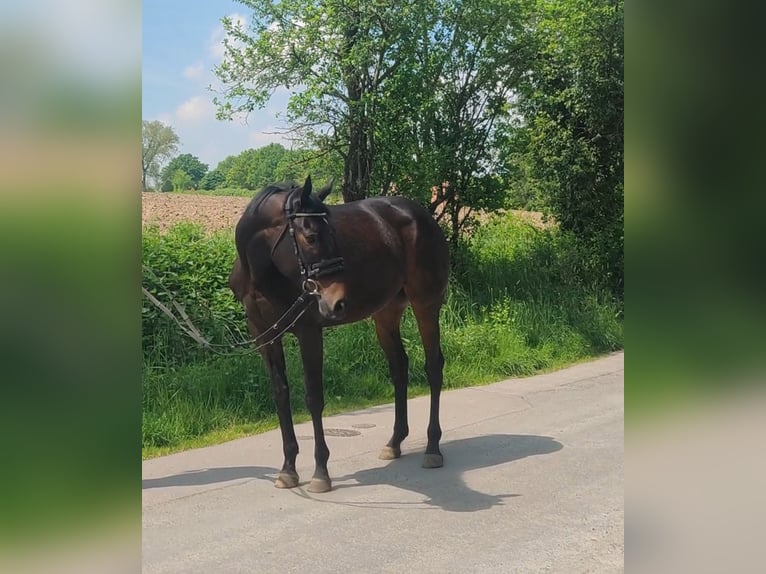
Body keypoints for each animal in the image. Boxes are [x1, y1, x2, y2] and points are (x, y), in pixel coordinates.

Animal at [228, 177, 450, 496]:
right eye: (310, 237)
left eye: (332, 232)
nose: (338, 302)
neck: (263, 273)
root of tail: (421, 215)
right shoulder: (264, 336)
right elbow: (281, 395)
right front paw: (288, 469)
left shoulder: (308, 331)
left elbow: (313, 397)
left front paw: (321, 472)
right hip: (386, 312)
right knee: (399, 367)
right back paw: (394, 442)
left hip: (426, 304)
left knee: (433, 367)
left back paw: (433, 447)